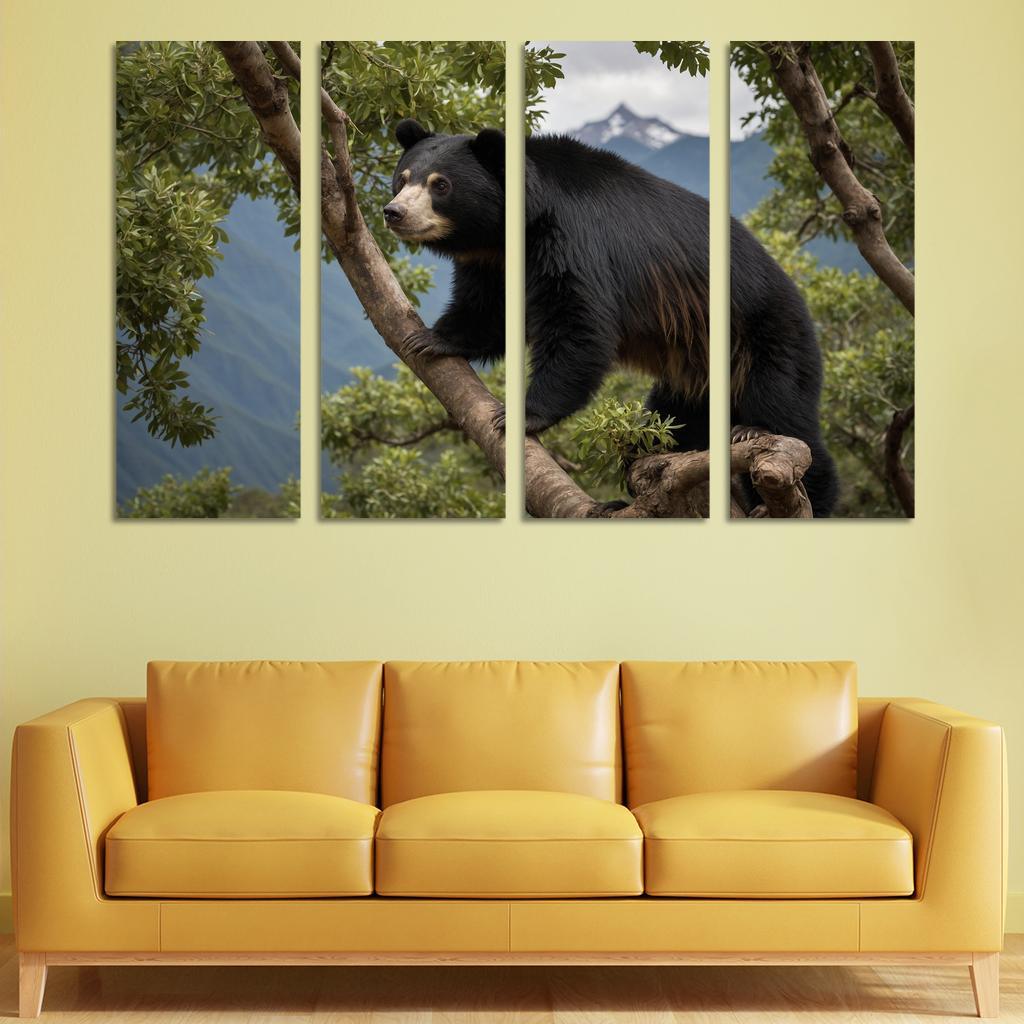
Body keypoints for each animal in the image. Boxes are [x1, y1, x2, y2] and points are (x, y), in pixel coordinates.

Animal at [385, 119, 839, 517]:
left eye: (440, 184)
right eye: (402, 178)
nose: (394, 212)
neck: (513, 228)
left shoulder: (573, 237)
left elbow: (580, 323)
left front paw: (522, 413)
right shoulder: (492, 261)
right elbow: (489, 310)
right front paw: (430, 338)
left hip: (764, 333)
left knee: (786, 409)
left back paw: (773, 463)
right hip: (695, 367)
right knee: (677, 418)